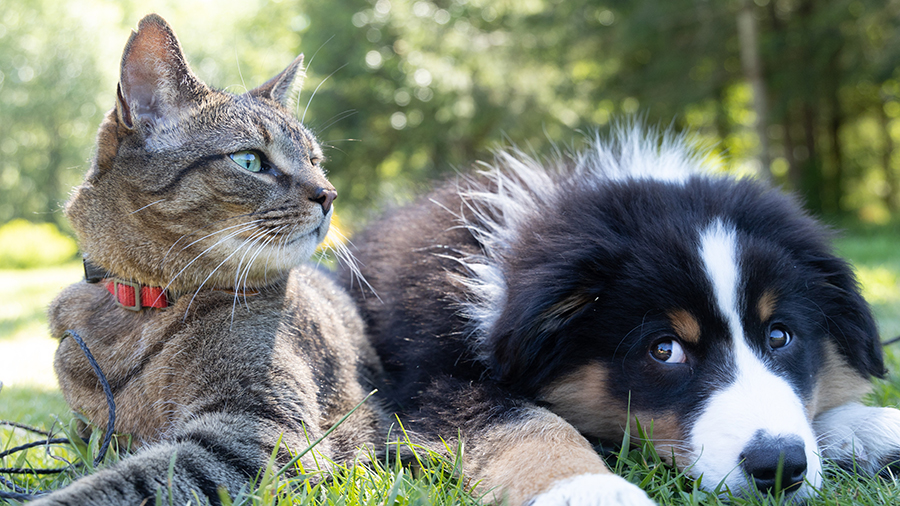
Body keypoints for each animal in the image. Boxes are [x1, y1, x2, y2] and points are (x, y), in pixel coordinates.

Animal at [29, 13, 386, 504]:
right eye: (250, 160)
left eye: (315, 160)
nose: (329, 194)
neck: (144, 305)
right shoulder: (89, 433)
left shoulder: (256, 430)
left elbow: (128, 481)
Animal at [342, 123, 900, 506]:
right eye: (664, 350)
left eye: (780, 336)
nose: (779, 467)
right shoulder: (430, 381)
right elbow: (527, 423)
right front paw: (588, 488)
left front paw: (873, 427)